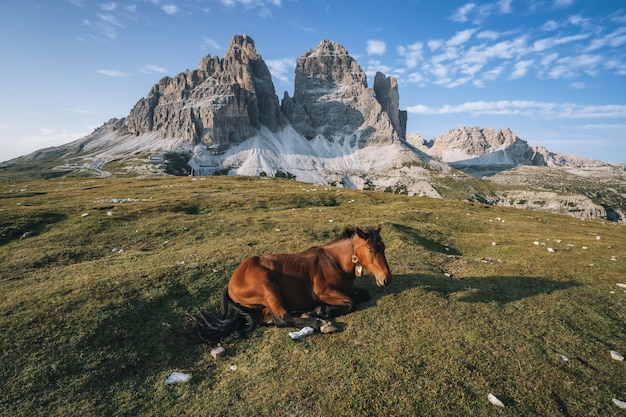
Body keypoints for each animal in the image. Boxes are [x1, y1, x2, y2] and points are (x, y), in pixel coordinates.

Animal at [185, 224, 390, 342]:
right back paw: (320, 322)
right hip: (267, 285)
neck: (335, 262)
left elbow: (363, 294)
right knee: (282, 318)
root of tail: (231, 282)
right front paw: (322, 310)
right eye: (371, 250)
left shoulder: (350, 288)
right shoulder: (323, 292)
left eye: (383, 247)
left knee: (268, 318)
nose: (386, 279)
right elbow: (350, 303)